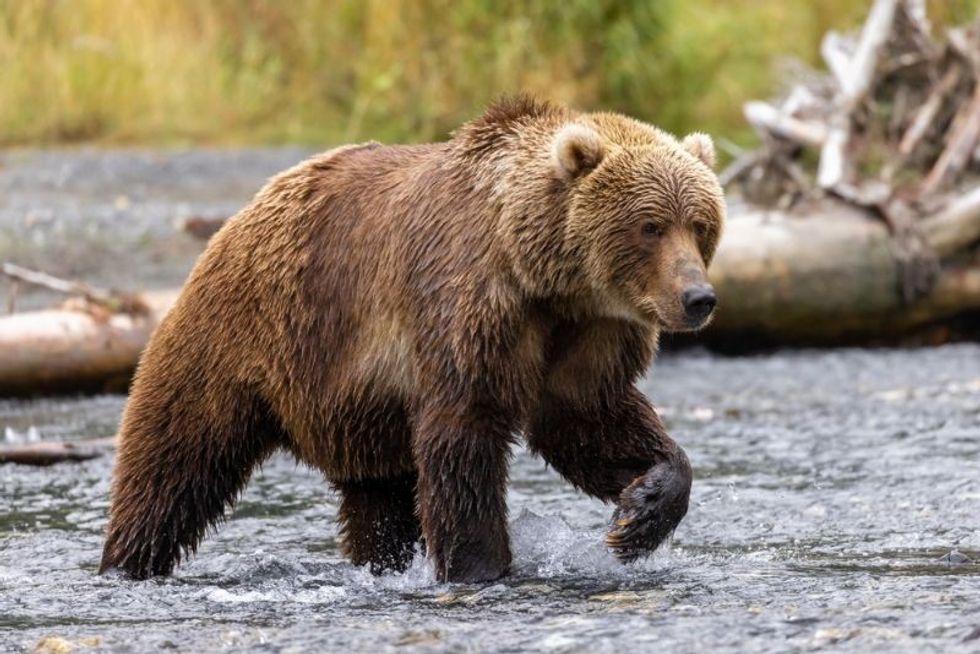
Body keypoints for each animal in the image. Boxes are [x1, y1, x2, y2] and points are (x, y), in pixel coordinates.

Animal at [99, 96, 725, 583]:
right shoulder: (469, 309)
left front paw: (637, 516)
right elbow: (463, 438)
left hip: (359, 416)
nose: (698, 297)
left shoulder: (589, 333)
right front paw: (480, 567)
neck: (545, 278)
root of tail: (238, 218)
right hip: (239, 338)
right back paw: (128, 561)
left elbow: (588, 419)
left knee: (379, 501)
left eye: (699, 223)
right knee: (174, 460)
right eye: (650, 226)